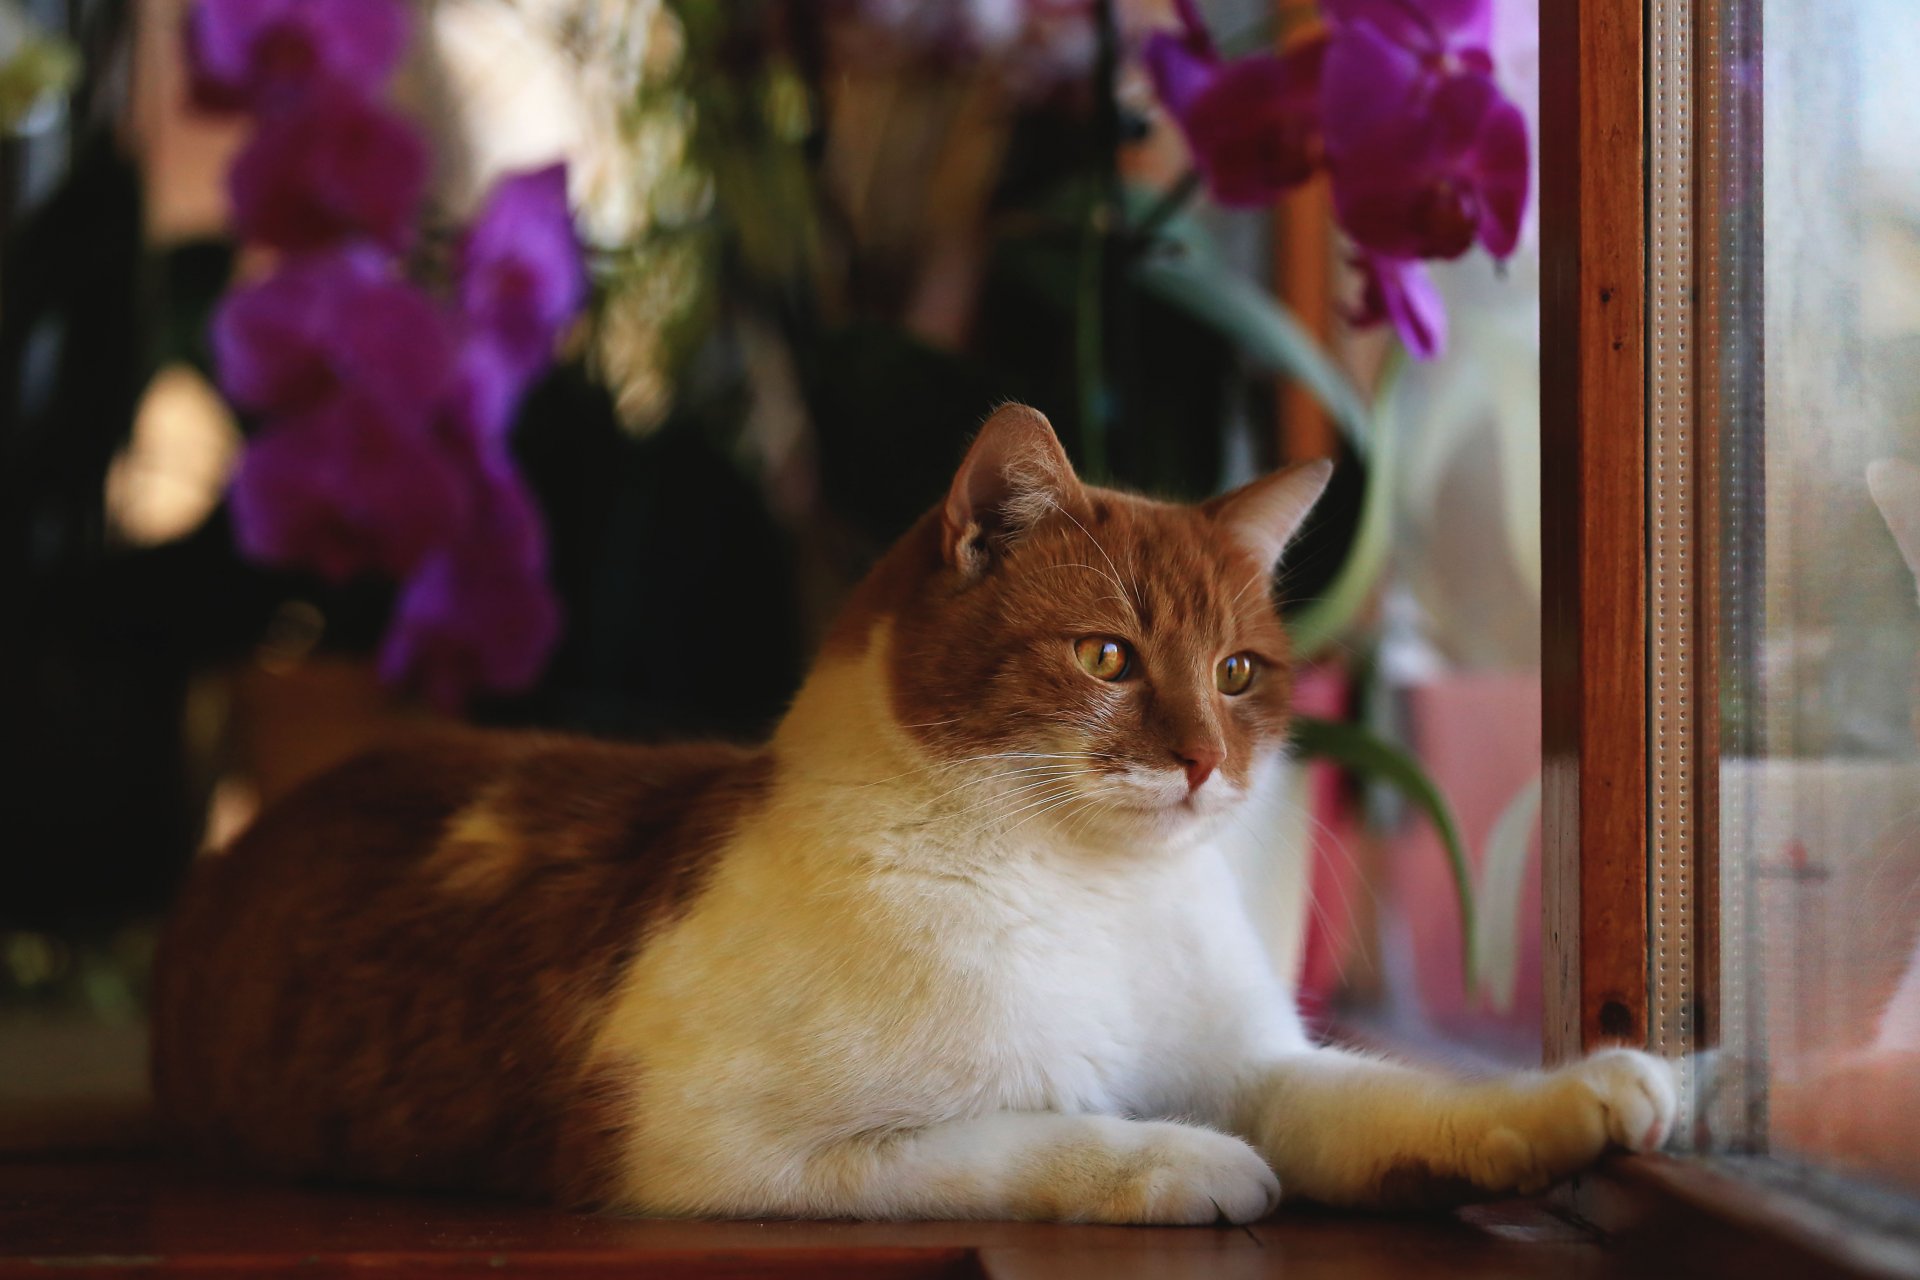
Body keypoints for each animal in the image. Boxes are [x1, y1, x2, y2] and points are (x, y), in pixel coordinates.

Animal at [153, 408, 1681, 1220]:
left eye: (1241, 673)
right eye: (1108, 656)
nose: (1202, 761)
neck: (1089, 894)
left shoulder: (1256, 1061)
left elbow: (1381, 1099)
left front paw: (1589, 1094)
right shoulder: (717, 1150)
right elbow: (1034, 1133)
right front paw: (1185, 1159)